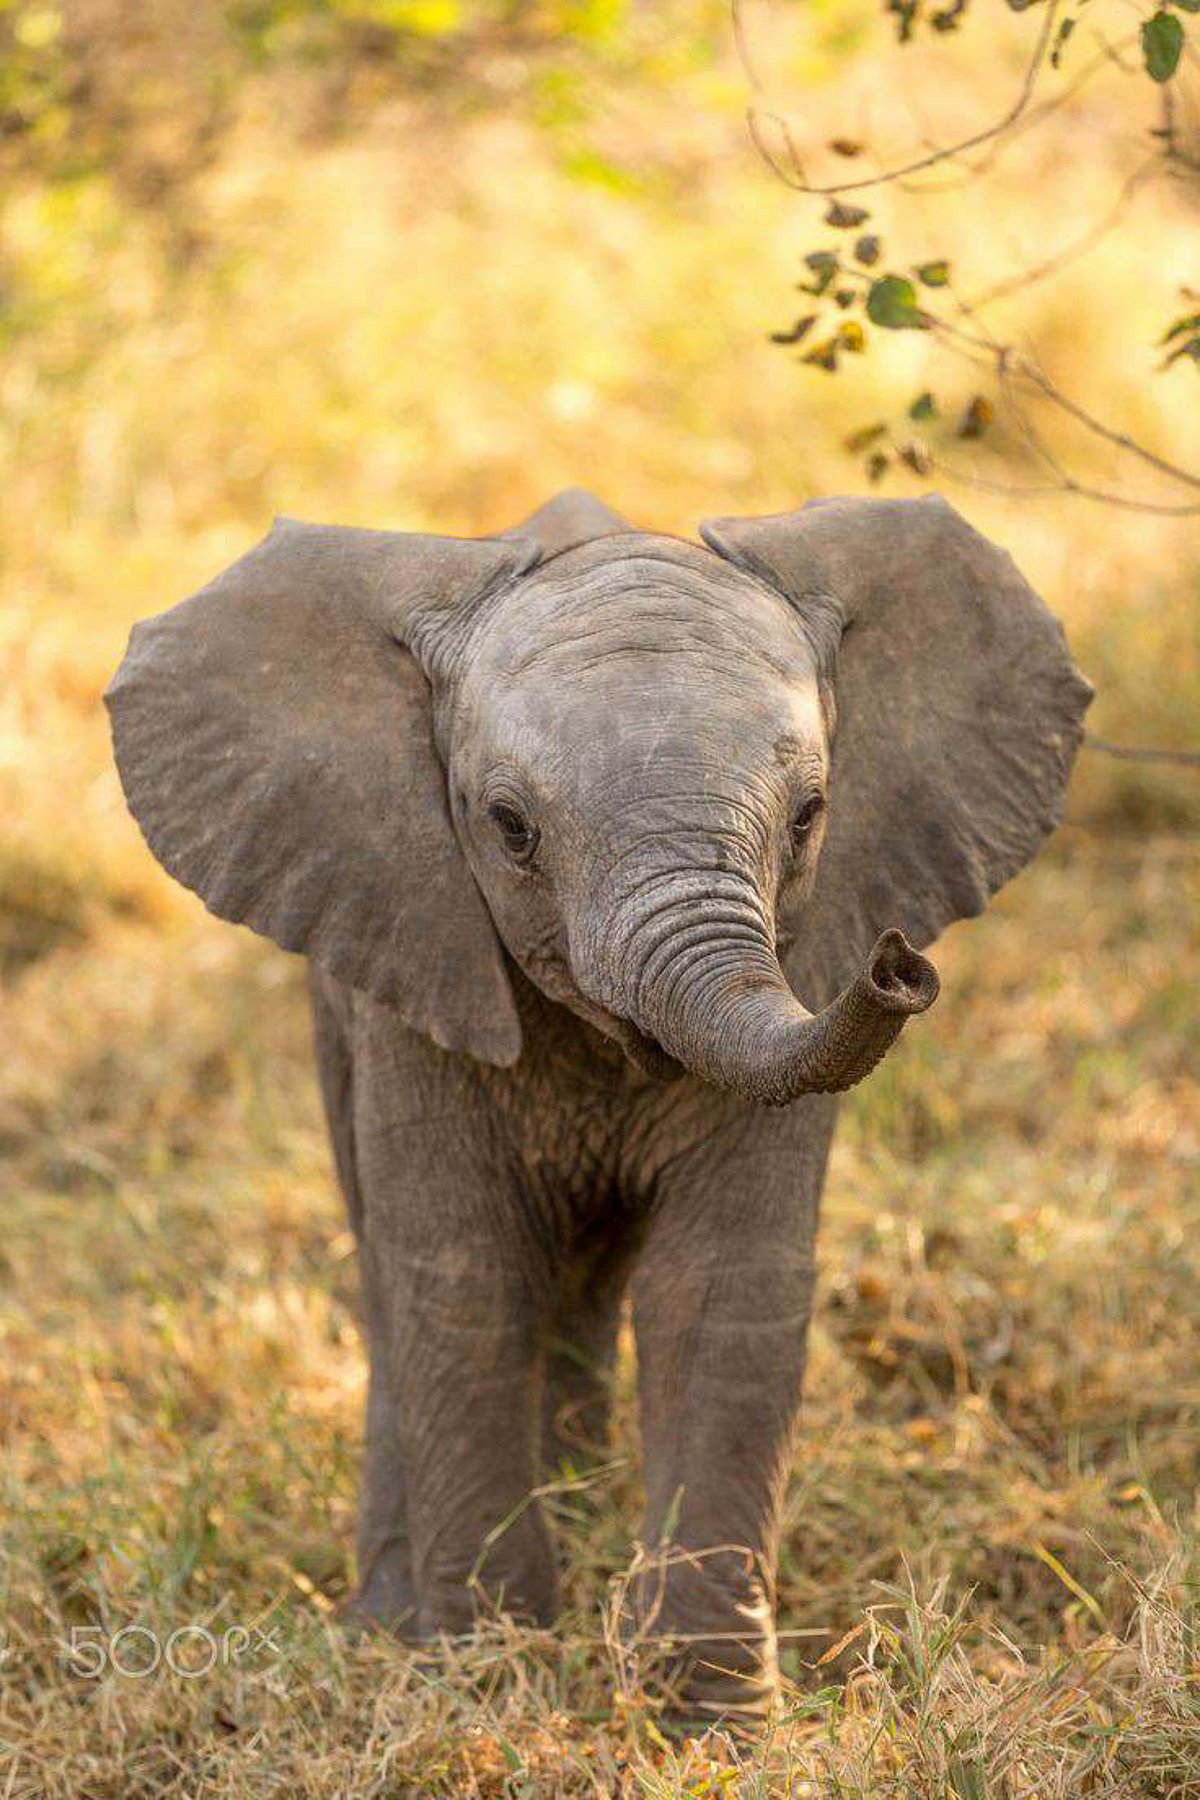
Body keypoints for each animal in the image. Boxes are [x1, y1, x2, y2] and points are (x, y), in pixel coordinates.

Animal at [105, 487, 1091, 1723]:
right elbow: (464, 1277)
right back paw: (393, 1616)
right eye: (509, 827)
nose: (899, 965)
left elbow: (716, 1289)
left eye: (811, 815)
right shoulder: (414, 985)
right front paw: (487, 1678)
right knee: (395, 1268)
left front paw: (708, 1720)